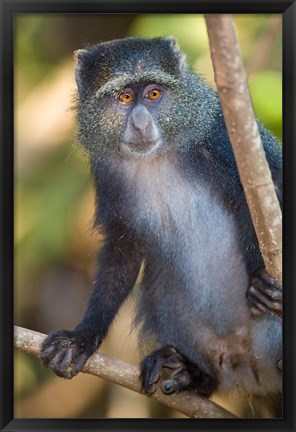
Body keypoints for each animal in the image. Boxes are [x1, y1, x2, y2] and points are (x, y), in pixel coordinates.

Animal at [39, 35, 282, 410]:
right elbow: (122, 249)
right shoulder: (107, 175)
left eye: (153, 94)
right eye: (125, 97)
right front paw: (81, 339)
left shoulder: (223, 137)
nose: (140, 123)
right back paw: (191, 373)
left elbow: (262, 202)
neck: (157, 156)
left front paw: (261, 282)